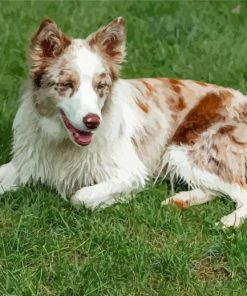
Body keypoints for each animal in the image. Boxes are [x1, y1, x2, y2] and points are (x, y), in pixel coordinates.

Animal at [0, 17, 247, 228]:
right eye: (67, 84)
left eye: (101, 86)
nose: (93, 122)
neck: (62, 142)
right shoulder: (26, 164)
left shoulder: (131, 172)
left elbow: (80, 196)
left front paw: (116, 200)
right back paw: (179, 200)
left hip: (187, 151)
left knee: (241, 192)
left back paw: (230, 221)